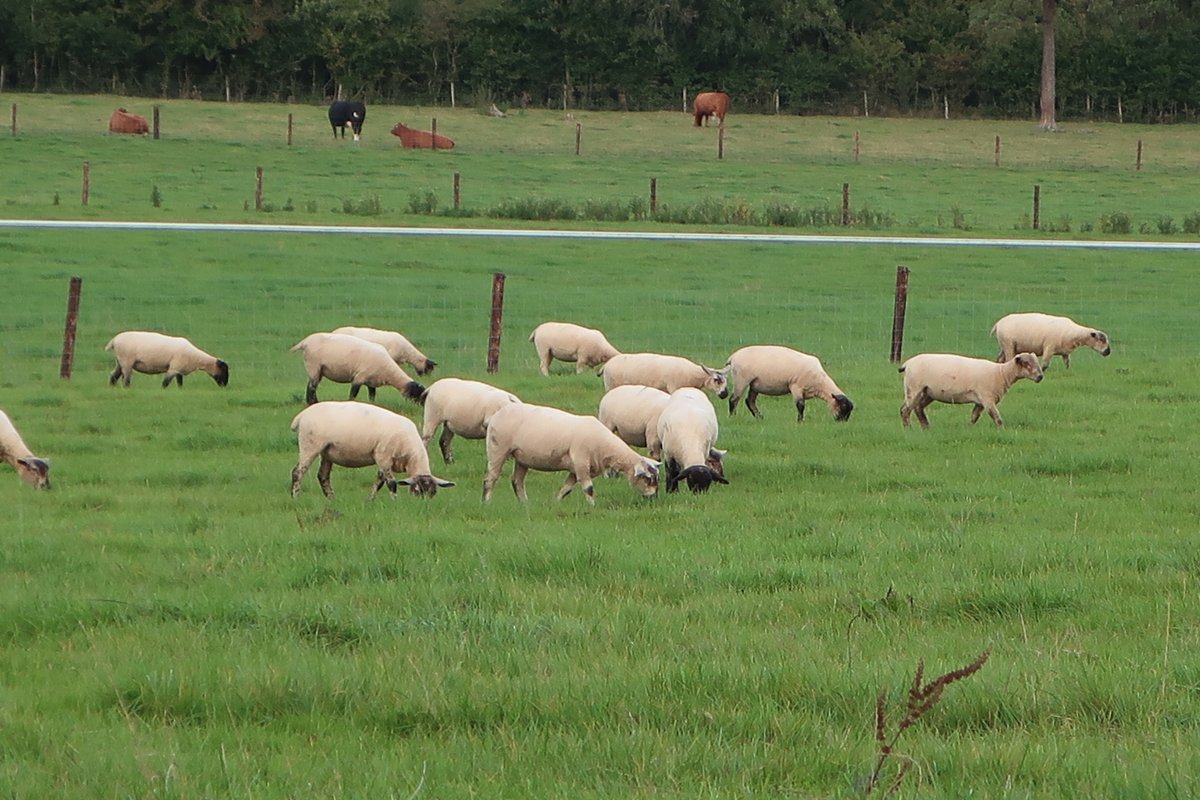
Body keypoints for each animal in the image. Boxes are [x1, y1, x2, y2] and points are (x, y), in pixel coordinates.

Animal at [290, 331, 427, 407]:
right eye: (417, 395)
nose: (422, 407)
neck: (388, 372)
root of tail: (305, 342)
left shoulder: (371, 381)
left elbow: (372, 395)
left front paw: (373, 405)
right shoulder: (359, 377)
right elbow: (353, 394)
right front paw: (351, 403)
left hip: (318, 370)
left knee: (311, 385)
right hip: (314, 365)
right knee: (312, 387)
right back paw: (313, 403)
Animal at [290, 402, 453, 496]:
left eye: (433, 493)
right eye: (417, 492)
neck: (410, 455)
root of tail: (301, 416)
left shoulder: (384, 461)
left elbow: (380, 481)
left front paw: (371, 499)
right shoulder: (383, 456)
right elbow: (391, 484)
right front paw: (394, 501)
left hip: (327, 452)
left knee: (323, 476)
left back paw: (331, 499)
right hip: (310, 446)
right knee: (298, 472)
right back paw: (295, 497)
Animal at [482, 400, 662, 506]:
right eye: (647, 478)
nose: (653, 497)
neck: (605, 446)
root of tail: (497, 414)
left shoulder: (577, 469)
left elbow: (567, 488)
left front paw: (557, 502)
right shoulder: (581, 463)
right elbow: (588, 488)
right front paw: (592, 506)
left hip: (522, 457)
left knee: (517, 481)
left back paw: (524, 503)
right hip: (497, 448)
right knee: (491, 477)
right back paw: (486, 501)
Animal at [720, 345, 854, 422]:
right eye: (842, 406)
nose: (842, 422)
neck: (820, 383)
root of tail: (733, 357)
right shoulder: (796, 386)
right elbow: (800, 405)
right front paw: (800, 421)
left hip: (755, 384)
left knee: (750, 401)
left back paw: (760, 418)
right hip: (741, 380)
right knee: (734, 399)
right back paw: (733, 417)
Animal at [902, 350, 1041, 424]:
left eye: (1037, 363)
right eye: (1026, 363)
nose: (1040, 376)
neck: (1001, 373)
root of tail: (907, 363)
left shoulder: (980, 402)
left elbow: (974, 417)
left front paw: (968, 428)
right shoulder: (987, 399)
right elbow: (997, 418)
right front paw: (1002, 431)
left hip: (928, 392)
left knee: (918, 408)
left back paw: (926, 428)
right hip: (914, 389)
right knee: (905, 410)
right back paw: (909, 429)